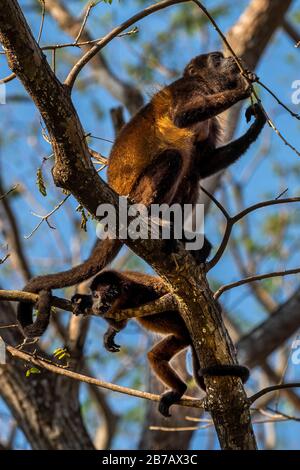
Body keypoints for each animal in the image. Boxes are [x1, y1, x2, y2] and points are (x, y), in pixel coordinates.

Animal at [17, 50, 264, 338]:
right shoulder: (188, 89)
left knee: (190, 173)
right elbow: (181, 117)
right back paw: (150, 218)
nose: (229, 60)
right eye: (216, 58)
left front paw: (257, 124)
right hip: (135, 194)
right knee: (174, 158)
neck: (207, 85)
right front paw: (243, 89)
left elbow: (203, 165)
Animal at [71, 270, 250, 416]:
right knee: (155, 356)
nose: (98, 304)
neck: (122, 288)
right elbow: (118, 325)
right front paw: (105, 328)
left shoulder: (132, 295)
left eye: (101, 295)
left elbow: (120, 323)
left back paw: (179, 390)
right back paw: (178, 388)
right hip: (181, 338)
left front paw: (88, 304)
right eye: (95, 295)